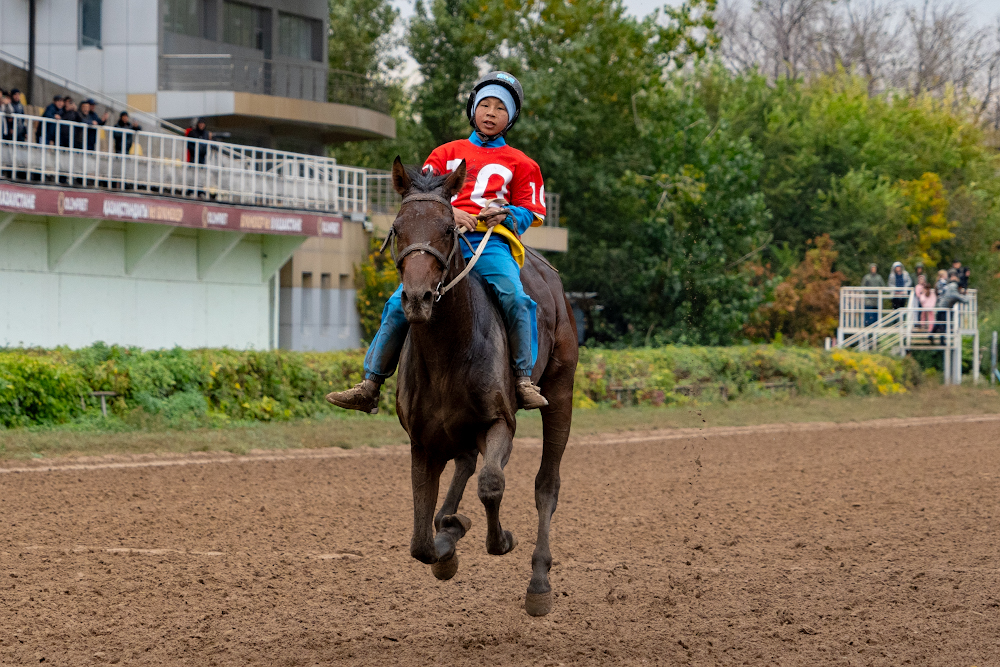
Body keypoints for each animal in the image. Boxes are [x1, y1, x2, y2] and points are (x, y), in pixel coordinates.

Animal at [386, 157, 580, 616]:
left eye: (446, 228)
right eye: (398, 227)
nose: (416, 299)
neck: (447, 352)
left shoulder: (499, 421)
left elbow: (492, 485)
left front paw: (498, 538)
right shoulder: (422, 441)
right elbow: (420, 542)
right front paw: (447, 539)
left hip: (561, 392)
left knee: (546, 484)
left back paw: (539, 581)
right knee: (465, 464)